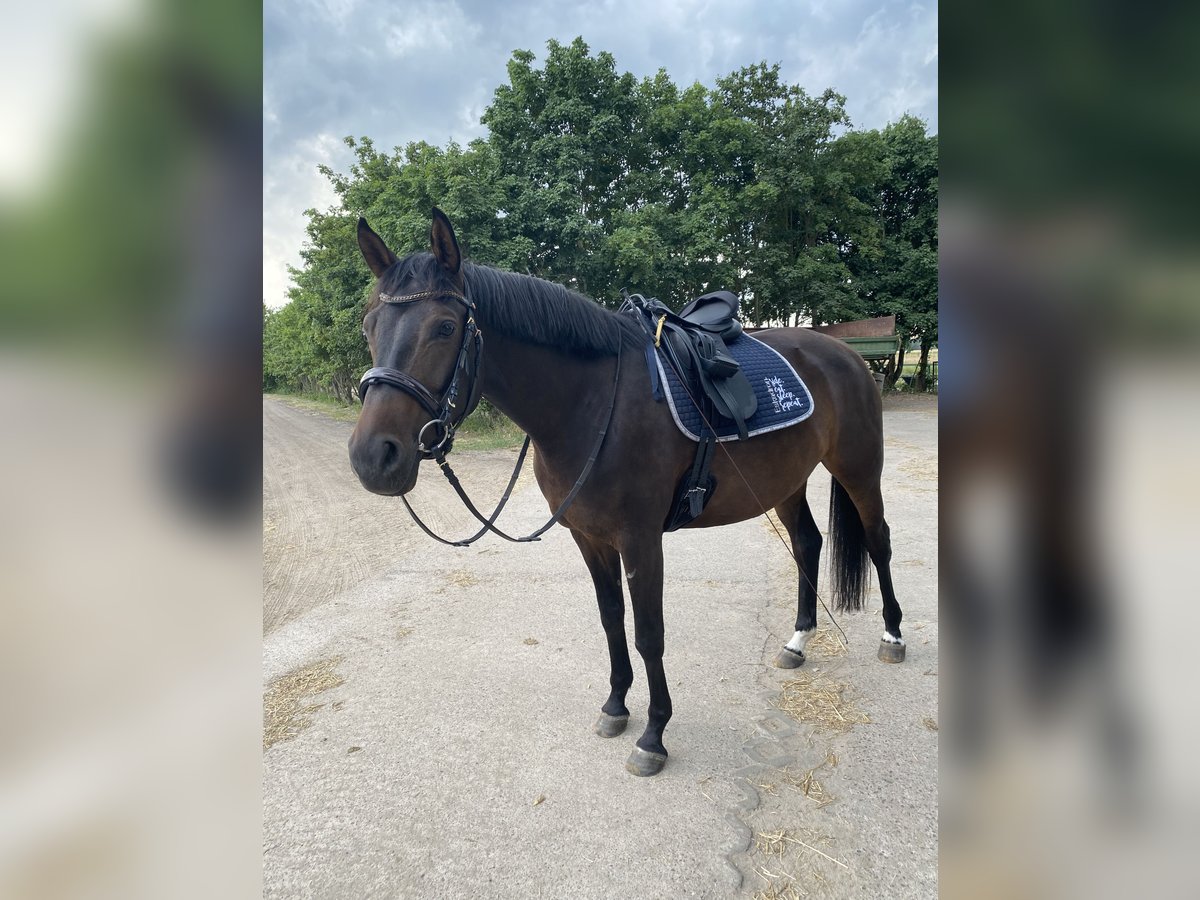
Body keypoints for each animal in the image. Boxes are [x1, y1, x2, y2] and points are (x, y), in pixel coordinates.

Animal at [348, 210, 902, 777]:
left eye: (444, 327)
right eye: (370, 326)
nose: (374, 457)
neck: (591, 405)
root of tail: (846, 354)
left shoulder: (640, 539)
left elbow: (648, 632)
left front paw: (654, 735)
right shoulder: (589, 537)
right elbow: (611, 619)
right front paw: (616, 706)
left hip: (859, 470)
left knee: (877, 539)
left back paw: (892, 636)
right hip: (785, 482)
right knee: (808, 543)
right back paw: (798, 642)